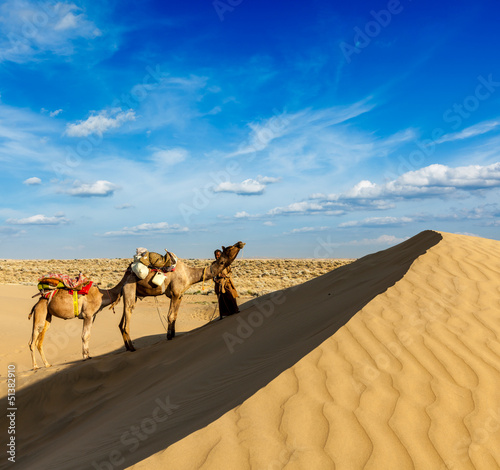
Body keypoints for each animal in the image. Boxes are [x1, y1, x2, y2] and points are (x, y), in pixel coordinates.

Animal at [115, 241, 244, 350]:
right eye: (230, 248)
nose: (240, 243)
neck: (189, 274)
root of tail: (125, 275)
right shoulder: (175, 294)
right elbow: (170, 315)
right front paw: (169, 336)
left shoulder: (180, 296)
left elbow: (175, 316)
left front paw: (173, 334)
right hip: (130, 288)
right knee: (127, 318)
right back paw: (132, 348)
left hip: (131, 294)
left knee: (122, 322)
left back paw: (127, 347)